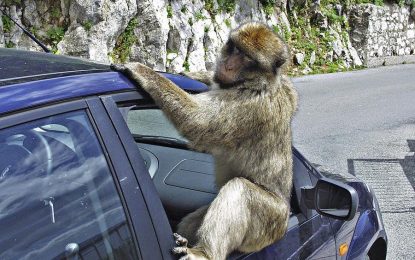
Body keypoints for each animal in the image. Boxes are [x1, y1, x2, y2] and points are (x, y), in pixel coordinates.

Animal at [112, 21, 298, 258]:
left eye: (247, 58)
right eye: (235, 48)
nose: (227, 64)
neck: (258, 82)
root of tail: (287, 218)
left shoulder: (248, 106)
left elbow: (198, 122)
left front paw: (142, 71)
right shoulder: (285, 87)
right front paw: (192, 73)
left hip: (268, 223)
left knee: (240, 190)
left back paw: (204, 253)